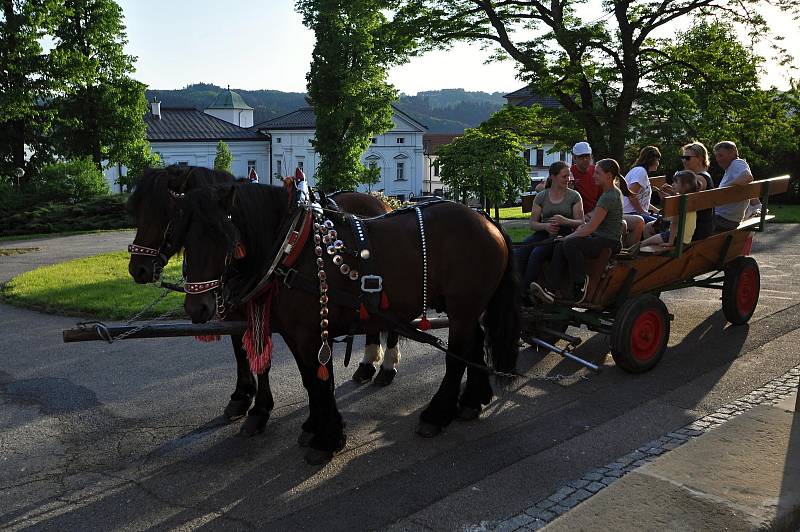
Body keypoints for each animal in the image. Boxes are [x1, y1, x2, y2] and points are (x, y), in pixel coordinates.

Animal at [128, 165, 404, 436]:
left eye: (170, 213)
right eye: (138, 211)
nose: (137, 269)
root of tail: (379, 201)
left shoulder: (263, 309)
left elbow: (263, 358)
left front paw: (260, 410)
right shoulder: (234, 309)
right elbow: (240, 352)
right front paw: (241, 397)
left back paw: (387, 367)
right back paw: (367, 364)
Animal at [168, 181, 520, 464]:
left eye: (222, 236)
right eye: (182, 237)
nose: (197, 307)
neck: (293, 246)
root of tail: (486, 219)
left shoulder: (309, 333)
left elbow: (320, 382)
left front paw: (327, 440)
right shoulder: (295, 334)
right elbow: (310, 381)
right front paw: (316, 428)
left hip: (462, 308)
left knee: (456, 357)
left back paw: (436, 414)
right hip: (469, 308)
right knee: (475, 344)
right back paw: (472, 401)